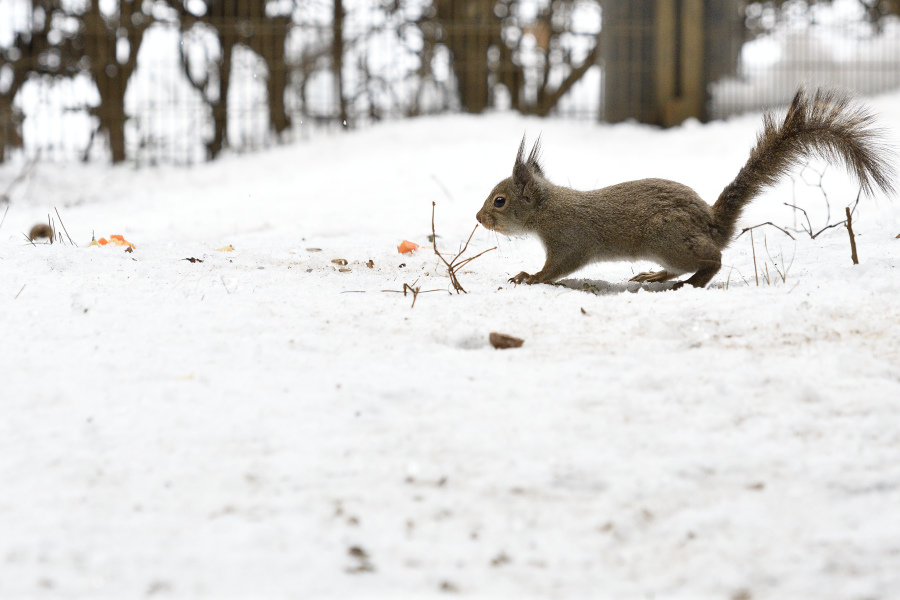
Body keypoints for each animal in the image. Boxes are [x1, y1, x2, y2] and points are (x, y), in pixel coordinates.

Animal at [474, 87, 896, 290]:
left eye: (500, 201)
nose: (478, 218)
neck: (548, 208)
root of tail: (713, 224)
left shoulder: (570, 240)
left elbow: (557, 268)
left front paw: (529, 277)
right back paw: (655, 276)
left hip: (667, 238)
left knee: (714, 260)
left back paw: (689, 282)